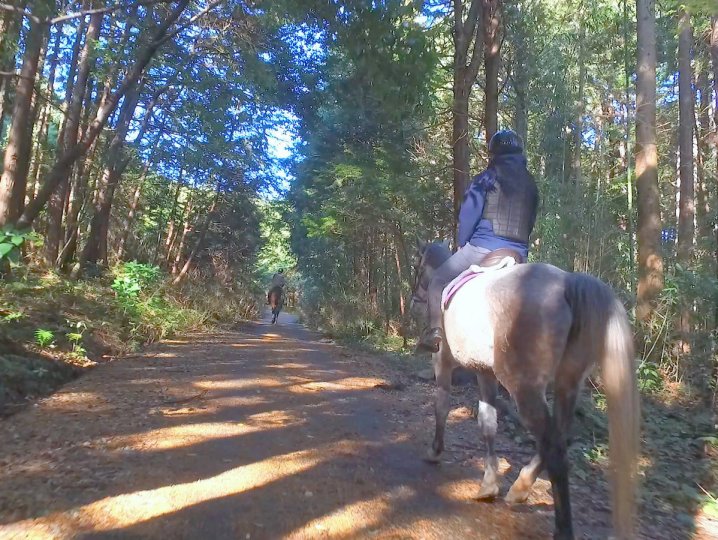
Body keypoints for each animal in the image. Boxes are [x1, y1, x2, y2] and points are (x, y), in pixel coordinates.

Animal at [410, 240, 640, 540]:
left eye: (418, 267)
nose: (414, 300)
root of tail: (568, 281)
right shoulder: (485, 372)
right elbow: (488, 423)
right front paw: (489, 484)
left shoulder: (443, 362)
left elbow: (442, 406)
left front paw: (435, 451)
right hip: (568, 383)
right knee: (561, 435)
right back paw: (521, 487)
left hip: (525, 388)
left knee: (554, 447)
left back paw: (561, 527)